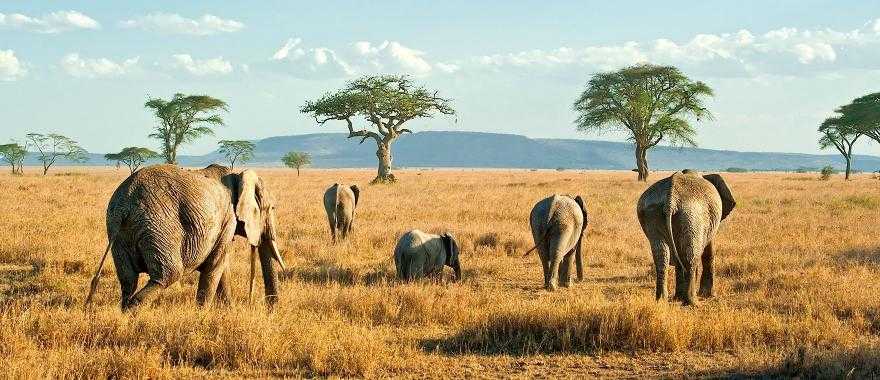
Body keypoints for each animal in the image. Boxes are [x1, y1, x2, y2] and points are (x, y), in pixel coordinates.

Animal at [85, 165, 288, 310]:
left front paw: (228, 312)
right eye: (271, 208)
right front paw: (201, 316)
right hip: (159, 226)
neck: (238, 175)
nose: (270, 310)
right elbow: (215, 266)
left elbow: (221, 268)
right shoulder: (227, 219)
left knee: (128, 279)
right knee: (168, 274)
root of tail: (125, 205)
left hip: (118, 232)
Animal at [640, 169, 736, 306]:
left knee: (662, 254)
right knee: (690, 255)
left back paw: (661, 301)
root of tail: (671, 200)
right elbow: (708, 251)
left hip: (653, 212)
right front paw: (709, 296)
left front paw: (678, 298)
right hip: (691, 215)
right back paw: (692, 303)